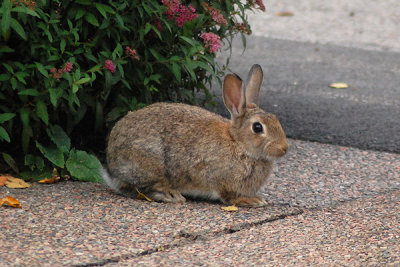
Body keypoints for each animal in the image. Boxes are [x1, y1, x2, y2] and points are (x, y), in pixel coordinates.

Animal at [102, 64, 288, 207]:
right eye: (257, 127)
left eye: (276, 119)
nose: (284, 148)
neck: (238, 143)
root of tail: (111, 167)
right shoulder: (220, 179)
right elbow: (228, 196)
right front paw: (252, 201)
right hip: (149, 164)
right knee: (136, 189)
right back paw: (169, 195)